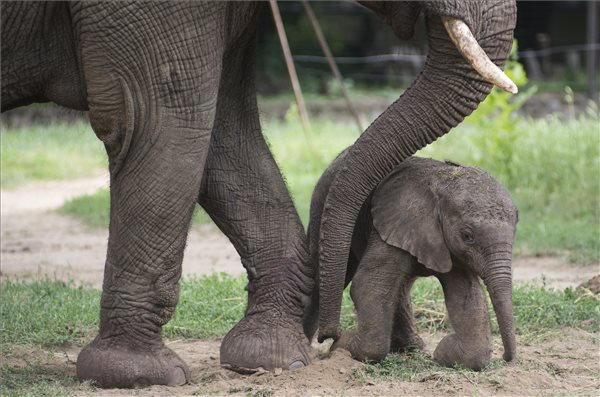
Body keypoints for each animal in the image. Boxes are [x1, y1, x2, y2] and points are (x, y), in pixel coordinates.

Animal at [308, 153, 516, 370]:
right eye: (467, 236)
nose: (506, 358)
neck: (443, 184)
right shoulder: (396, 224)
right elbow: (369, 284)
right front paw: (340, 346)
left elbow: (466, 295)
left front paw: (442, 352)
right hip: (323, 205)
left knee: (401, 286)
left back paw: (413, 348)